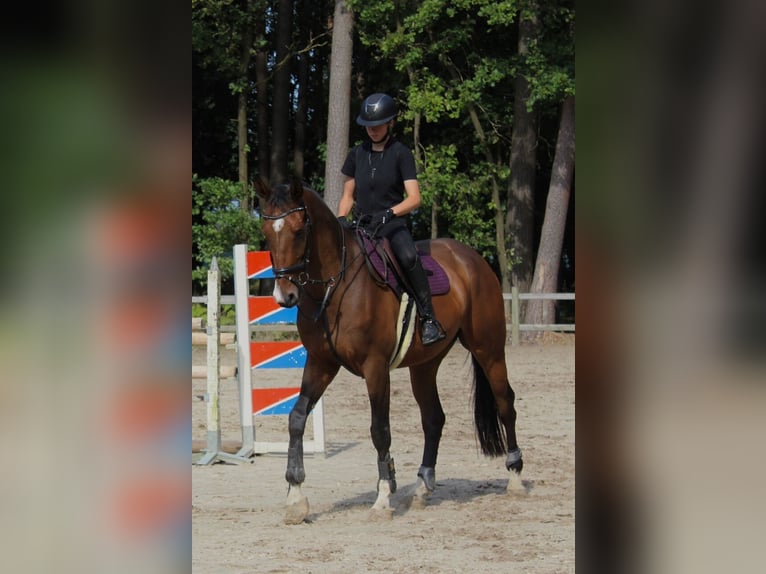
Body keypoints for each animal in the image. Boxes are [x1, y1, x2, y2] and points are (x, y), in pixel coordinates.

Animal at [255, 179, 523, 524]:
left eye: (300, 230)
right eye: (267, 231)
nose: (284, 295)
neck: (336, 285)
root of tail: (471, 258)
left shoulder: (376, 367)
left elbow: (380, 430)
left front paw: (383, 496)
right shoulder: (321, 363)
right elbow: (297, 417)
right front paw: (296, 498)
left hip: (488, 349)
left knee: (505, 403)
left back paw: (515, 476)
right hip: (425, 365)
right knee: (433, 418)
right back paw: (422, 487)